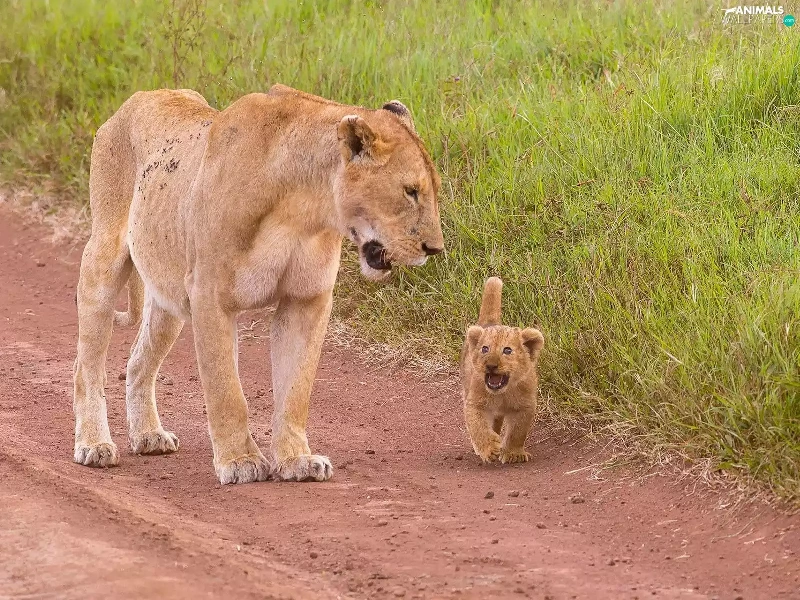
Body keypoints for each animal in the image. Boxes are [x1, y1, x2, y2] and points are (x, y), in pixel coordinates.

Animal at [73, 85, 444, 484]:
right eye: (410, 191)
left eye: (433, 190)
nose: (435, 248)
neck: (304, 210)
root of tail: (141, 94)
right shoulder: (210, 295)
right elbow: (226, 391)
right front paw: (240, 461)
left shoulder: (306, 301)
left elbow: (296, 389)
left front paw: (297, 460)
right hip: (103, 262)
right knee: (86, 365)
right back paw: (94, 445)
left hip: (167, 299)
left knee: (139, 363)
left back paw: (148, 436)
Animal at [460, 277, 544, 463]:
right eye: (485, 349)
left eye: (507, 350)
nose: (491, 365)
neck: (502, 394)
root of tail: (491, 323)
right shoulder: (475, 402)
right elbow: (478, 426)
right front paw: (490, 448)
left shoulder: (525, 406)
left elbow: (517, 432)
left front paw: (513, 454)